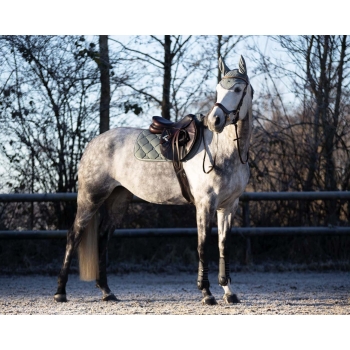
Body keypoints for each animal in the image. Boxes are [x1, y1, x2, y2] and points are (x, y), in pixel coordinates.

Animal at [53, 54, 253, 304]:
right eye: (218, 90)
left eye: (237, 89)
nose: (214, 121)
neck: (223, 151)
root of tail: (94, 143)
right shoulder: (205, 204)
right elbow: (203, 246)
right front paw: (206, 293)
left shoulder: (228, 207)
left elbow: (223, 246)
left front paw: (228, 291)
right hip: (91, 198)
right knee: (74, 236)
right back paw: (60, 292)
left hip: (118, 200)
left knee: (102, 238)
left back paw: (107, 291)